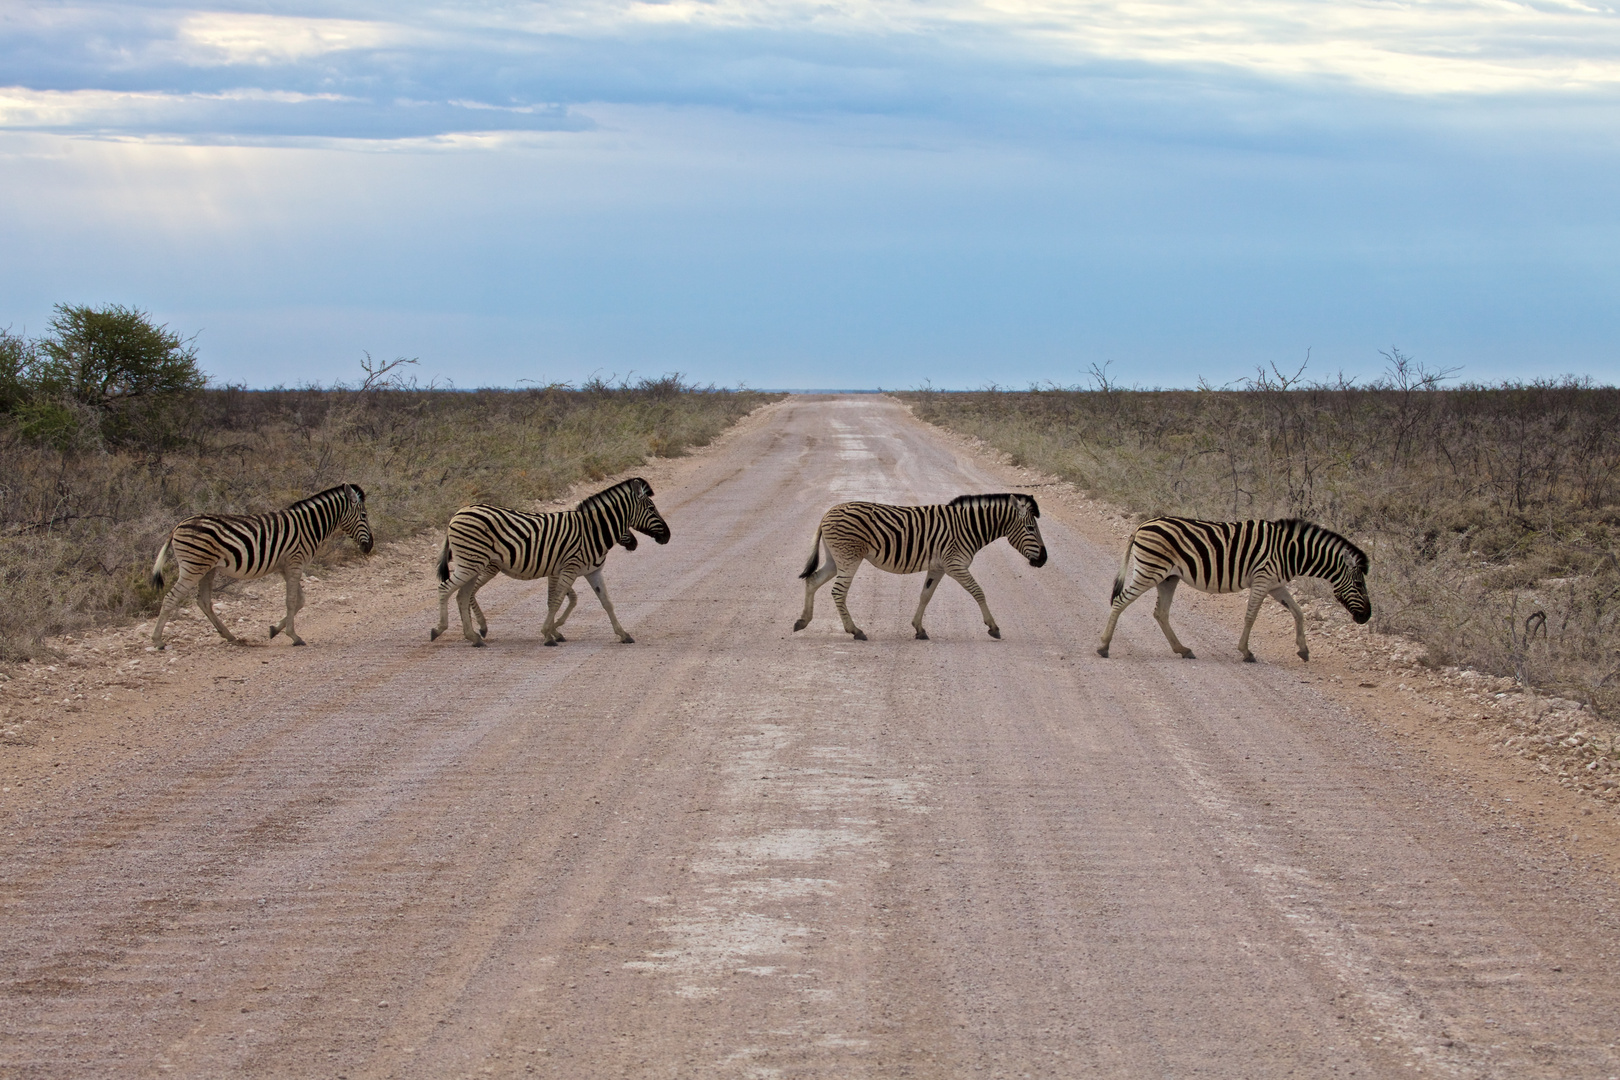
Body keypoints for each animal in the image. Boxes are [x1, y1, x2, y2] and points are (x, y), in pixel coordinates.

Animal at [147, 482, 370, 650]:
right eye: (364, 516)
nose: (369, 547)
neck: (308, 526)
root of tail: (179, 525)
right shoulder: (295, 563)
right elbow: (291, 601)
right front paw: (294, 636)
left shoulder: (286, 567)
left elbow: (300, 601)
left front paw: (274, 630)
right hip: (194, 567)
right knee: (171, 598)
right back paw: (158, 641)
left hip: (207, 569)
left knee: (204, 602)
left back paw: (230, 636)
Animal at [430, 476, 670, 647]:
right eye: (651, 509)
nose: (667, 536)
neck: (592, 531)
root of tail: (459, 512)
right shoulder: (569, 568)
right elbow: (556, 601)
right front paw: (548, 634)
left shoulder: (591, 572)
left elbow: (606, 602)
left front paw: (623, 634)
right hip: (471, 563)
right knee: (445, 589)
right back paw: (440, 630)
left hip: (473, 564)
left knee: (462, 595)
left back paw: (474, 637)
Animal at [787, 492, 1043, 641]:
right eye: (1031, 529)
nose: (1043, 560)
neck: (969, 527)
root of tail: (827, 513)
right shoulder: (955, 564)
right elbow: (979, 592)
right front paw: (993, 627)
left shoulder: (938, 567)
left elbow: (925, 595)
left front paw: (919, 629)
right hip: (848, 558)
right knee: (838, 592)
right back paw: (856, 631)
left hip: (835, 559)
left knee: (813, 580)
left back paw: (803, 621)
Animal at [1095, 518, 1373, 663]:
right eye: (1360, 585)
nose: (1366, 617)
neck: (1291, 552)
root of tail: (1143, 524)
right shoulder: (1263, 579)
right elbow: (1251, 616)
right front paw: (1246, 651)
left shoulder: (1276, 584)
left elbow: (1298, 612)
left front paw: (1303, 650)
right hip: (1150, 571)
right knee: (1120, 601)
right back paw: (1104, 646)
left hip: (1168, 578)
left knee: (1160, 613)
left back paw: (1183, 649)